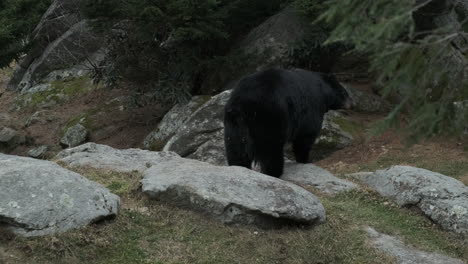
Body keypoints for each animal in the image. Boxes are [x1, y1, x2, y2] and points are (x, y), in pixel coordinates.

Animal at [223, 68, 352, 177]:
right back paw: (274, 172)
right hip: (270, 117)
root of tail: (243, 103)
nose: (351, 104)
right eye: (344, 93)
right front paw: (304, 159)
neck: (322, 91)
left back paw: (240, 166)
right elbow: (306, 136)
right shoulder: (311, 106)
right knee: (271, 150)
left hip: (234, 123)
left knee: (236, 148)